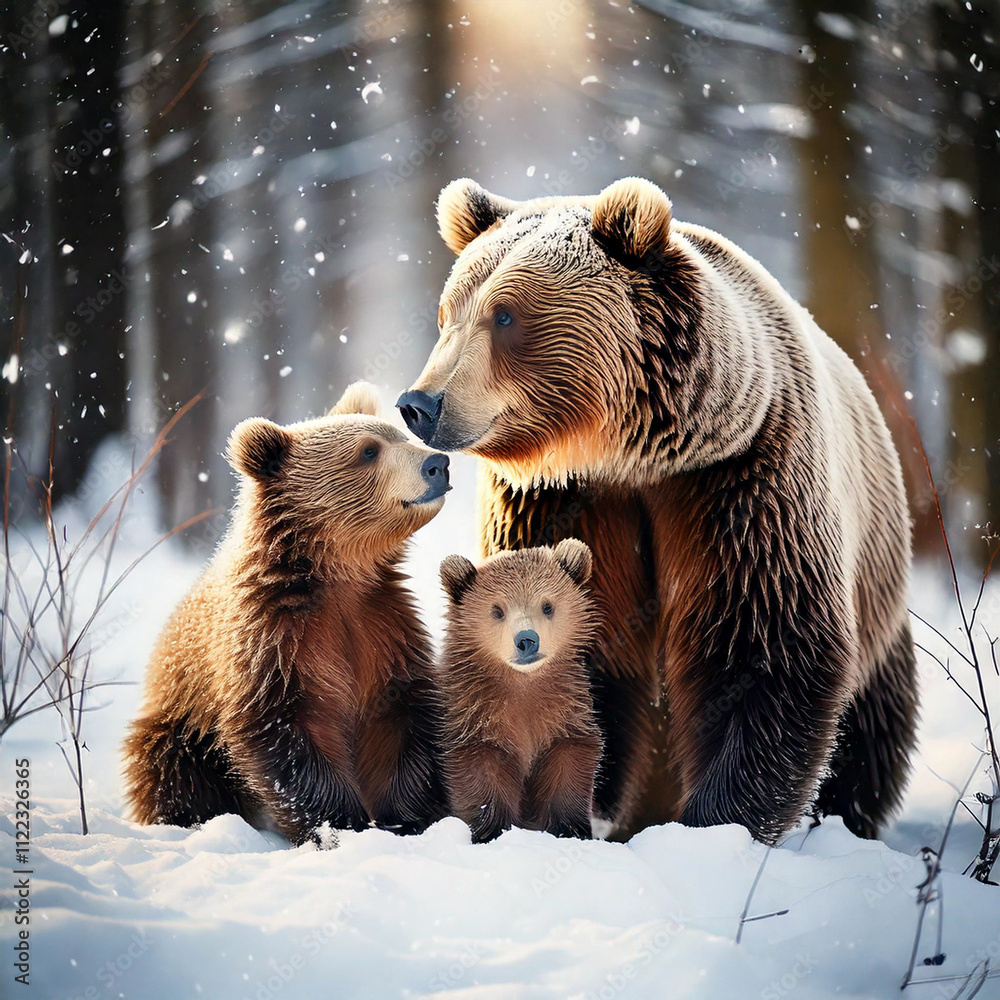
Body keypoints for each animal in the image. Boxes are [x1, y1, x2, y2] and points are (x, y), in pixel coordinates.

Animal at [123, 382, 451, 845]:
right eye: (369, 450)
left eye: (398, 435)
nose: (437, 463)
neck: (335, 575)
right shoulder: (276, 640)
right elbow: (288, 733)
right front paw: (339, 824)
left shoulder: (382, 627)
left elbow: (400, 719)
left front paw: (405, 817)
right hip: (182, 731)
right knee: (174, 773)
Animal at [438, 539, 602, 843]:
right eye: (497, 610)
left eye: (547, 606)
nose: (527, 640)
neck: (523, 685)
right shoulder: (476, 719)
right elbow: (480, 773)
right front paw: (490, 829)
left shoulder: (563, 717)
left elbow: (570, 763)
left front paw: (570, 828)